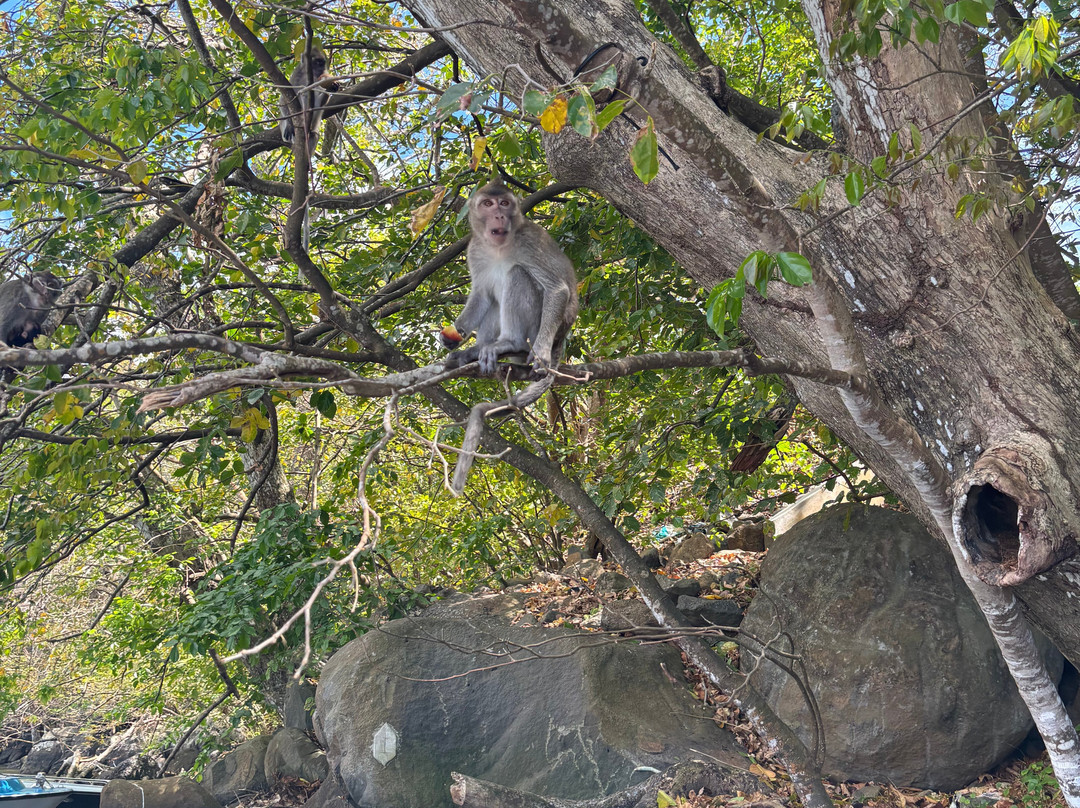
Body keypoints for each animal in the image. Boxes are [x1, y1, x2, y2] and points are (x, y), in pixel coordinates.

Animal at [438, 180, 578, 375]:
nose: (499, 216)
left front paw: (541, 352)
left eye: (504, 203)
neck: (499, 247)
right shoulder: (474, 249)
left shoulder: (530, 243)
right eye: (487, 204)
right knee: (493, 298)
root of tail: (559, 342)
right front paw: (455, 333)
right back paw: (477, 349)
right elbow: (481, 294)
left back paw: (510, 343)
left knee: (517, 273)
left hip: (534, 332)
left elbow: (557, 289)